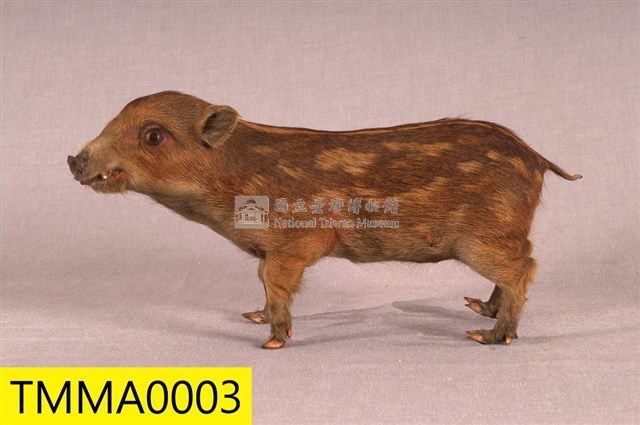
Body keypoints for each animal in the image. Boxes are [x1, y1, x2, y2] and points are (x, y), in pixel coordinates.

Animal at [68, 91, 581, 349]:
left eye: (153, 136)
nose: (74, 159)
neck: (232, 178)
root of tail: (538, 158)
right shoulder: (265, 248)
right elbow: (261, 283)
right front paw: (252, 316)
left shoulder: (295, 244)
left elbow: (277, 285)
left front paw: (272, 342)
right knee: (522, 263)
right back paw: (478, 308)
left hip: (484, 238)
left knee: (524, 268)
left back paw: (486, 335)